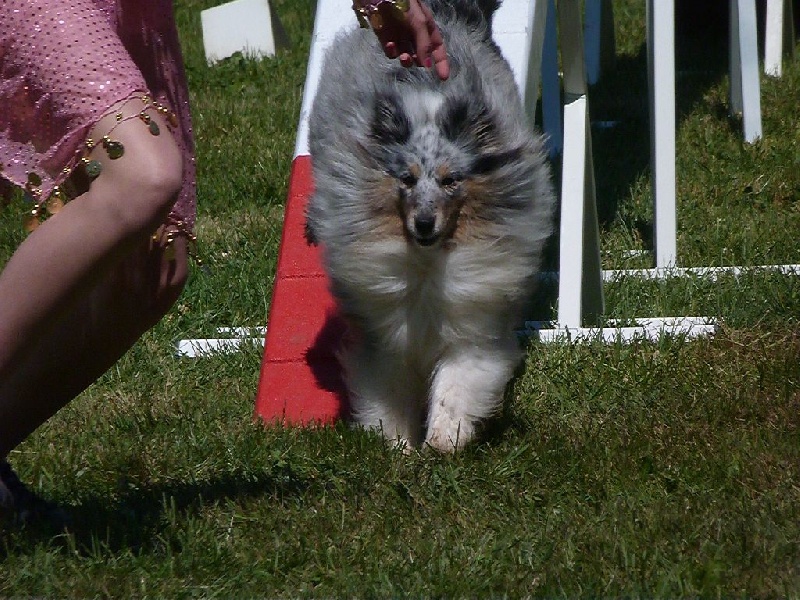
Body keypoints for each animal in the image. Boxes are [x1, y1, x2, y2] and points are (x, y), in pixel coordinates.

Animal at [306, 0, 556, 450]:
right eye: (405, 180)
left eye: (451, 180)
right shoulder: (386, 336)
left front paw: (443, 439)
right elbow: (389, 390)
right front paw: (398, 445)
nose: (424, 224)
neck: (426, 261)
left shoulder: (473, 327)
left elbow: (457, 385)